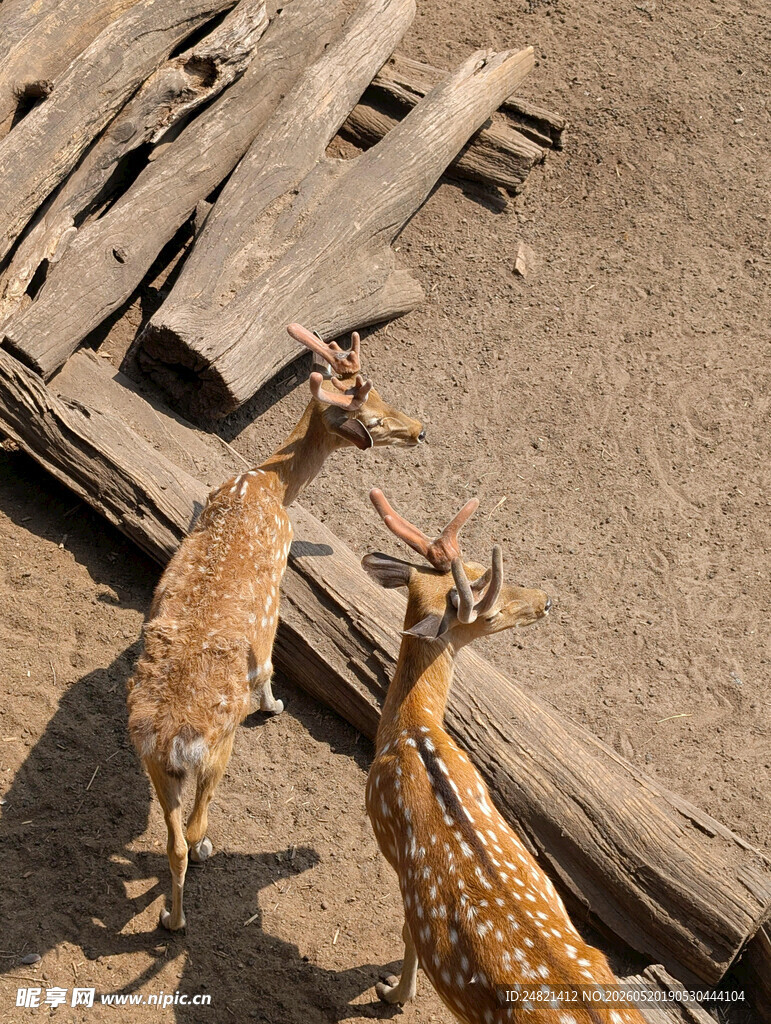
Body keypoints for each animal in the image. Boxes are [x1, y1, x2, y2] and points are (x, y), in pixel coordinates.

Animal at [127, 324, 424, 932]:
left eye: (384, 400)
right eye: (375, 416)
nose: (420, 429)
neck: (268, 480)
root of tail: (170, 741)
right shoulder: (277, 585)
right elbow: (267, 662)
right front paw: (274, 703)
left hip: (154, 768)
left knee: (172, 842)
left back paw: (169, 918)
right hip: (216, 753)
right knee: (193, 832)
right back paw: (191, 894)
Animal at [361, 489, 647, 1024]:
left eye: (478, 564)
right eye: (488, 612)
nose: (545, 600)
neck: (410, 732)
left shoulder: (393, 851)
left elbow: (408, 933)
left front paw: (392, 992)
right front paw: (394, 990)